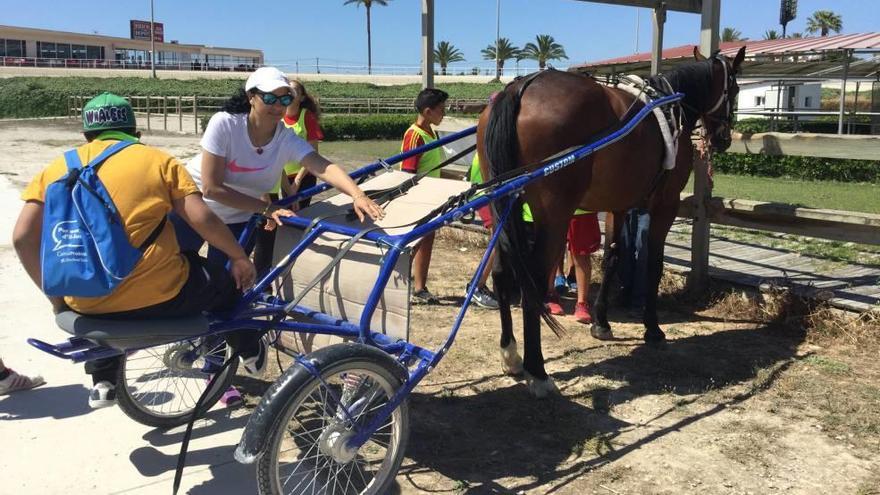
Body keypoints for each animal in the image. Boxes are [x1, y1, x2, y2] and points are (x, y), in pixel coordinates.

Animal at [478, 47, 744, 400]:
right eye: (736, 89)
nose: (724, 137)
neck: (669, 104)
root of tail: (521, 86)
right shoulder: (665, 205)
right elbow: (653, 264)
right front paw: (652, 327)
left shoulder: (619, 206)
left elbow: (612, 258)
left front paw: (601, 322)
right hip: (553, 213)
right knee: (532, 280)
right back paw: (538, 372)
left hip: (502, 208)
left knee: (501, 272)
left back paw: (510, 354)